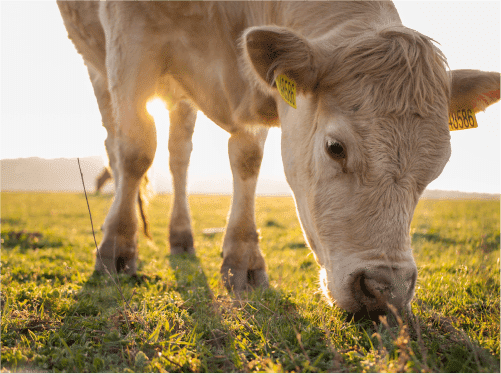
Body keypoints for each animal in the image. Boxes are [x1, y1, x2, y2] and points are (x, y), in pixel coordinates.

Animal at [56, 2, 498, 318]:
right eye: (334, 147)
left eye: (436, 168)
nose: (386, 289)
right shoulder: (128, 36)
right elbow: (135, 151)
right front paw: (116, 249)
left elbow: (247, 159)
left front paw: (243, 261)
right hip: (97, 62)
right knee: (118, 143)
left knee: (180, 154)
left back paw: (181, 236)